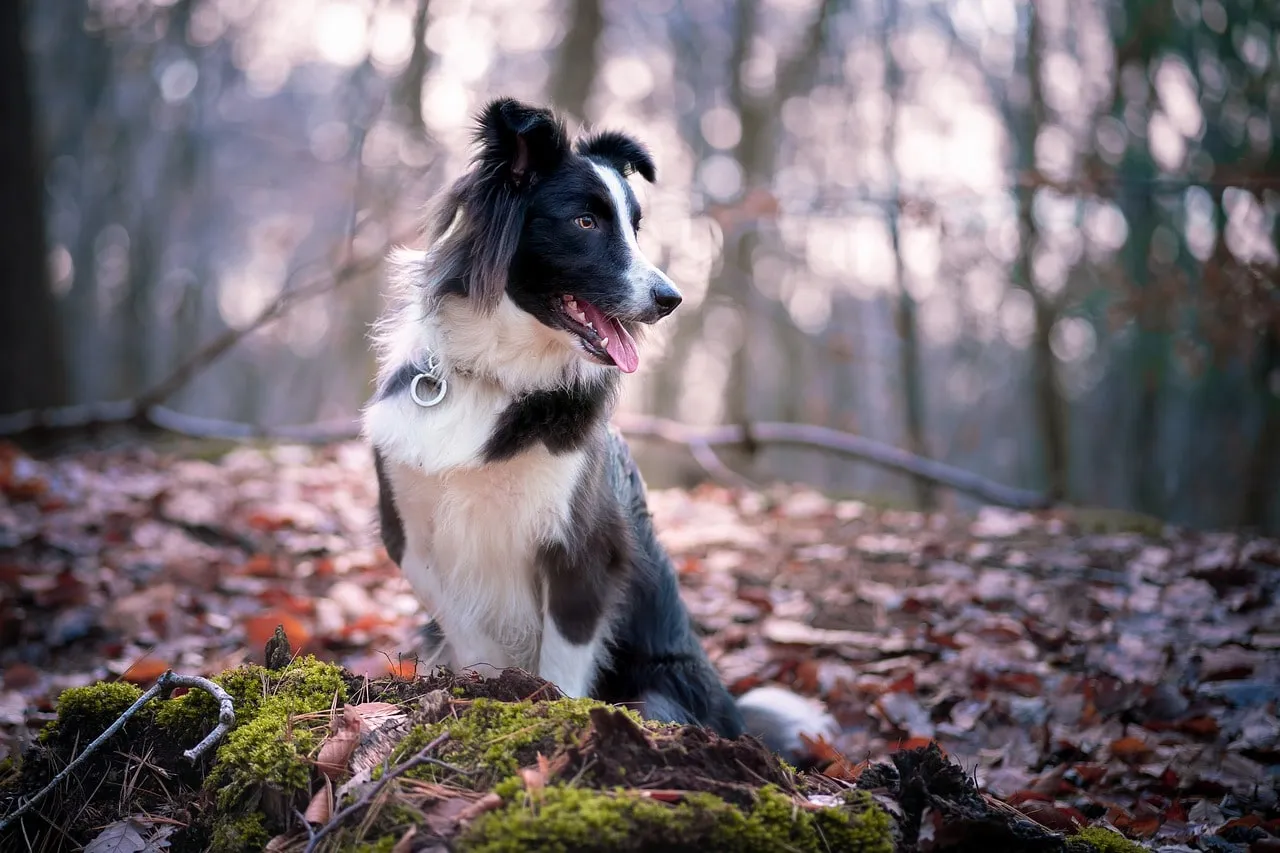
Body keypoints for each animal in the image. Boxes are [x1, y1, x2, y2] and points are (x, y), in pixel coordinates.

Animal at [363, 96, 839, 758]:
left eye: (635, 227)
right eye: (586, 222)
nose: (671, 299)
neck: (501, 377)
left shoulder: (582, 549)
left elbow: (563, 667)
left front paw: (546, 714)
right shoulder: (408, 530)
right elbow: (466, 626)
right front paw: (482, 693)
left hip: (665, 692)